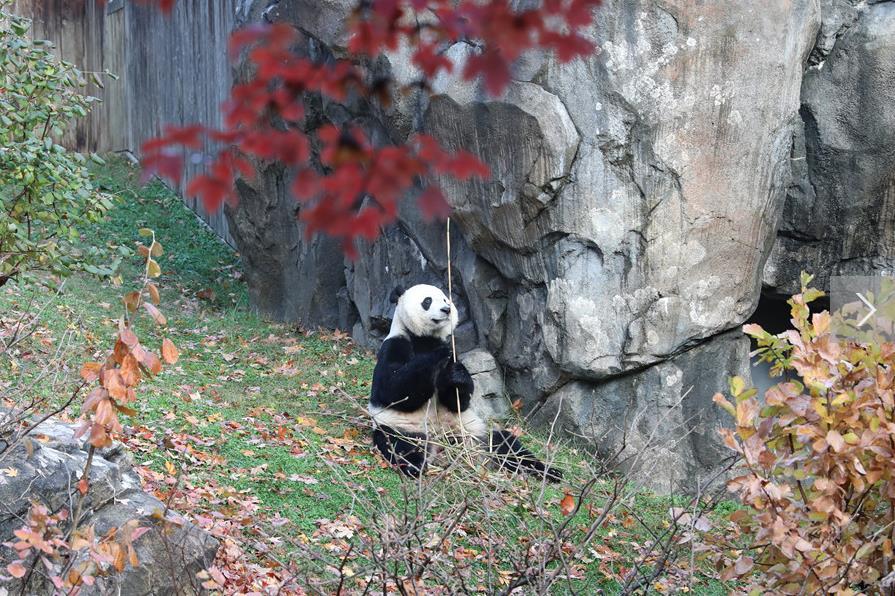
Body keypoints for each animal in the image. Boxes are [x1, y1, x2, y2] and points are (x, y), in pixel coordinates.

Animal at [368, 282, 564, 482]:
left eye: (445, 299)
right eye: (427, 301)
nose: (446, 309)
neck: (425, 339)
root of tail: (442, 446)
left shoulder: (453, 357)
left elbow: (457, 401)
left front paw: (457, 376)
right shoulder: (395, 344)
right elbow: (392, 390)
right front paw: (437, 355)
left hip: (473, 431)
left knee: (504, 444)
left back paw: (548, 471)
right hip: (402, 427)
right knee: (400, 446)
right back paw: (415, 467)